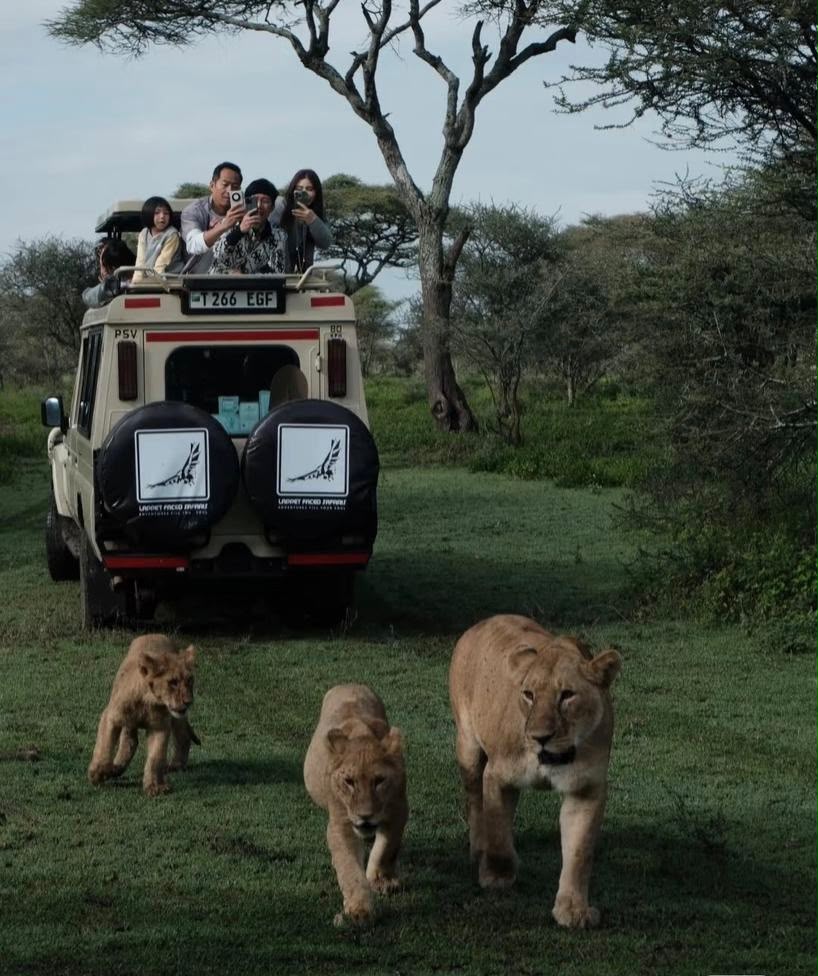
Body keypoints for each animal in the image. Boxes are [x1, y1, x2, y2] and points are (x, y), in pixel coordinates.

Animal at [88, 634, 199, 797]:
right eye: (172, 682)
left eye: (190, 680)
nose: (188, 701)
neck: (149, 701)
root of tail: (154, 634)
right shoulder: (111, 716)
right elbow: (104, 746)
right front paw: (97, 774)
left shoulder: (160, 727)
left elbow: (155, 757)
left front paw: (154, 786)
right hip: (128, 721)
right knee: (129, 742)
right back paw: (115, 768)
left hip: (177, 719)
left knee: (183, 736)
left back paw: (176, 764)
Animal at [304, 684, 408, 925]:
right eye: (349, 782)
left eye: (379, 781)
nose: (365, 816)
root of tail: (348, 683)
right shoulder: (341, 823)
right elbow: (349, 868)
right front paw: (359, 910)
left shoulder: (399, 810)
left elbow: (387, 848)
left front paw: (382, 881)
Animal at [449, 614, 621, 928]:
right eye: (528, 695)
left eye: (567, 695)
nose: (540, 737)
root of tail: (482, 621)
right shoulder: (497, 774)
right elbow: (497, 832)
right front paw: (497, 876)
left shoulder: (587, 788)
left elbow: (579, 851)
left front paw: (573, 910)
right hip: (468, 747)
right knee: (475, 801)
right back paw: (478, 851)